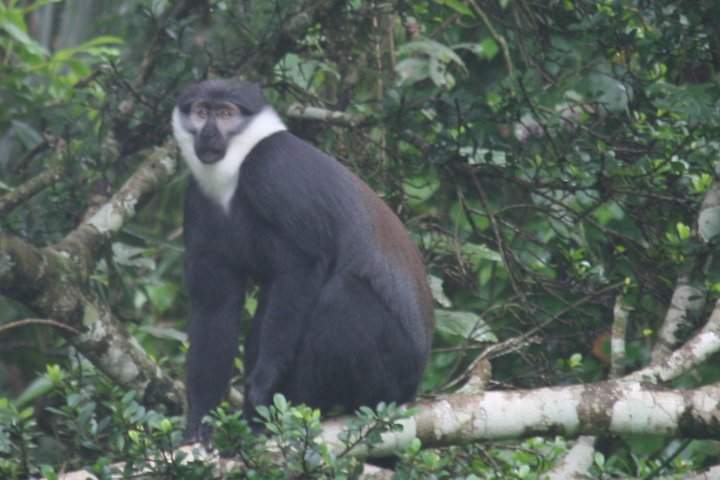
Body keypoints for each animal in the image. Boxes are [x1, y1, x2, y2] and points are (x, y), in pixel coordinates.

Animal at [171, 79, 435, 442]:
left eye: (226, 113)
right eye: (201, 112)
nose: (208, 134)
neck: (234, 171)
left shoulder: (271, 168)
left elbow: (304, 264)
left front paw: (263, 384)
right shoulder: (197, 201)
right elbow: (216, 306)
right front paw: (200, 423)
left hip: (394, 373)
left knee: (342, 297)